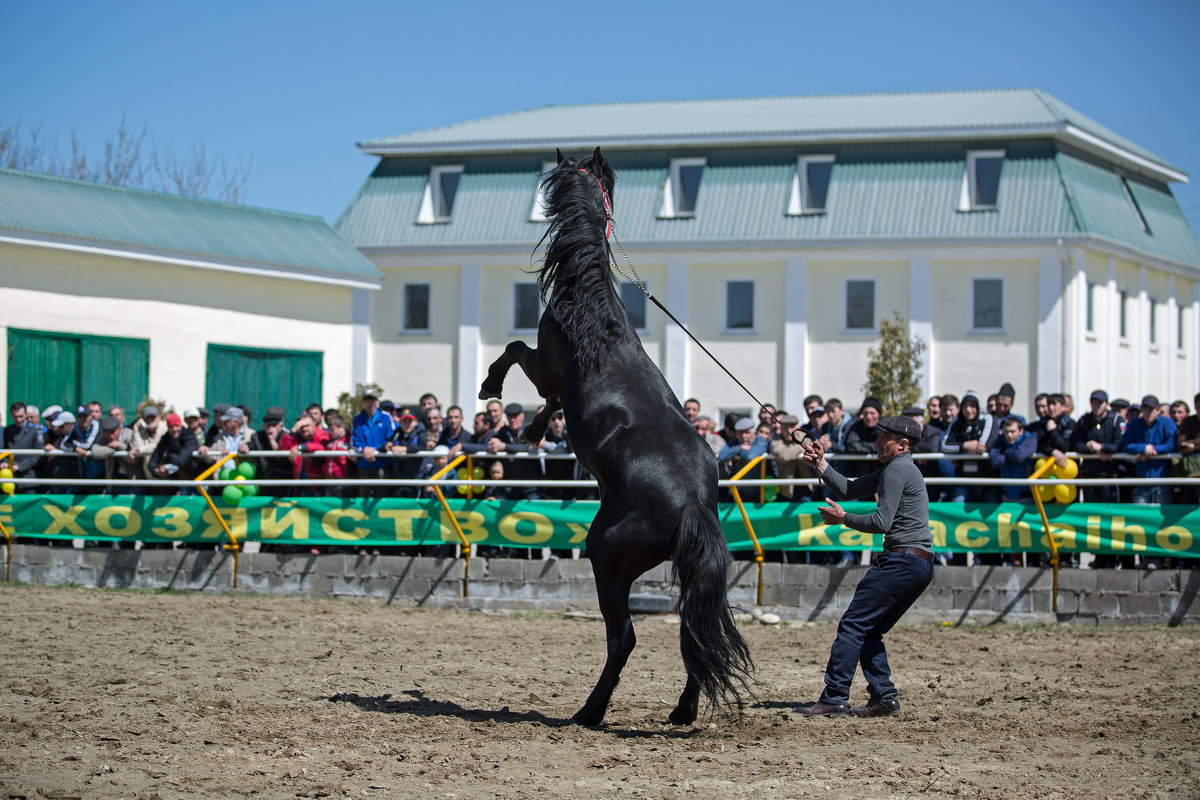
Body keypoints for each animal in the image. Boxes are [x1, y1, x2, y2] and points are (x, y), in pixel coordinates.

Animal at [477, 148, 748, 724]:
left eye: (562, 176)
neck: (592, 300)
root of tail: (692, 504)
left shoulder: (545, 362)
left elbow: (515, 351)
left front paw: (492, 386)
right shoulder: (556, 383)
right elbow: (552, 401)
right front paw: (533, 428)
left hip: (606, 557)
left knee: (623, 637)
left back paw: (589, 711)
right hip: (684, 572)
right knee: (695, 631)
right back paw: (682, 711)